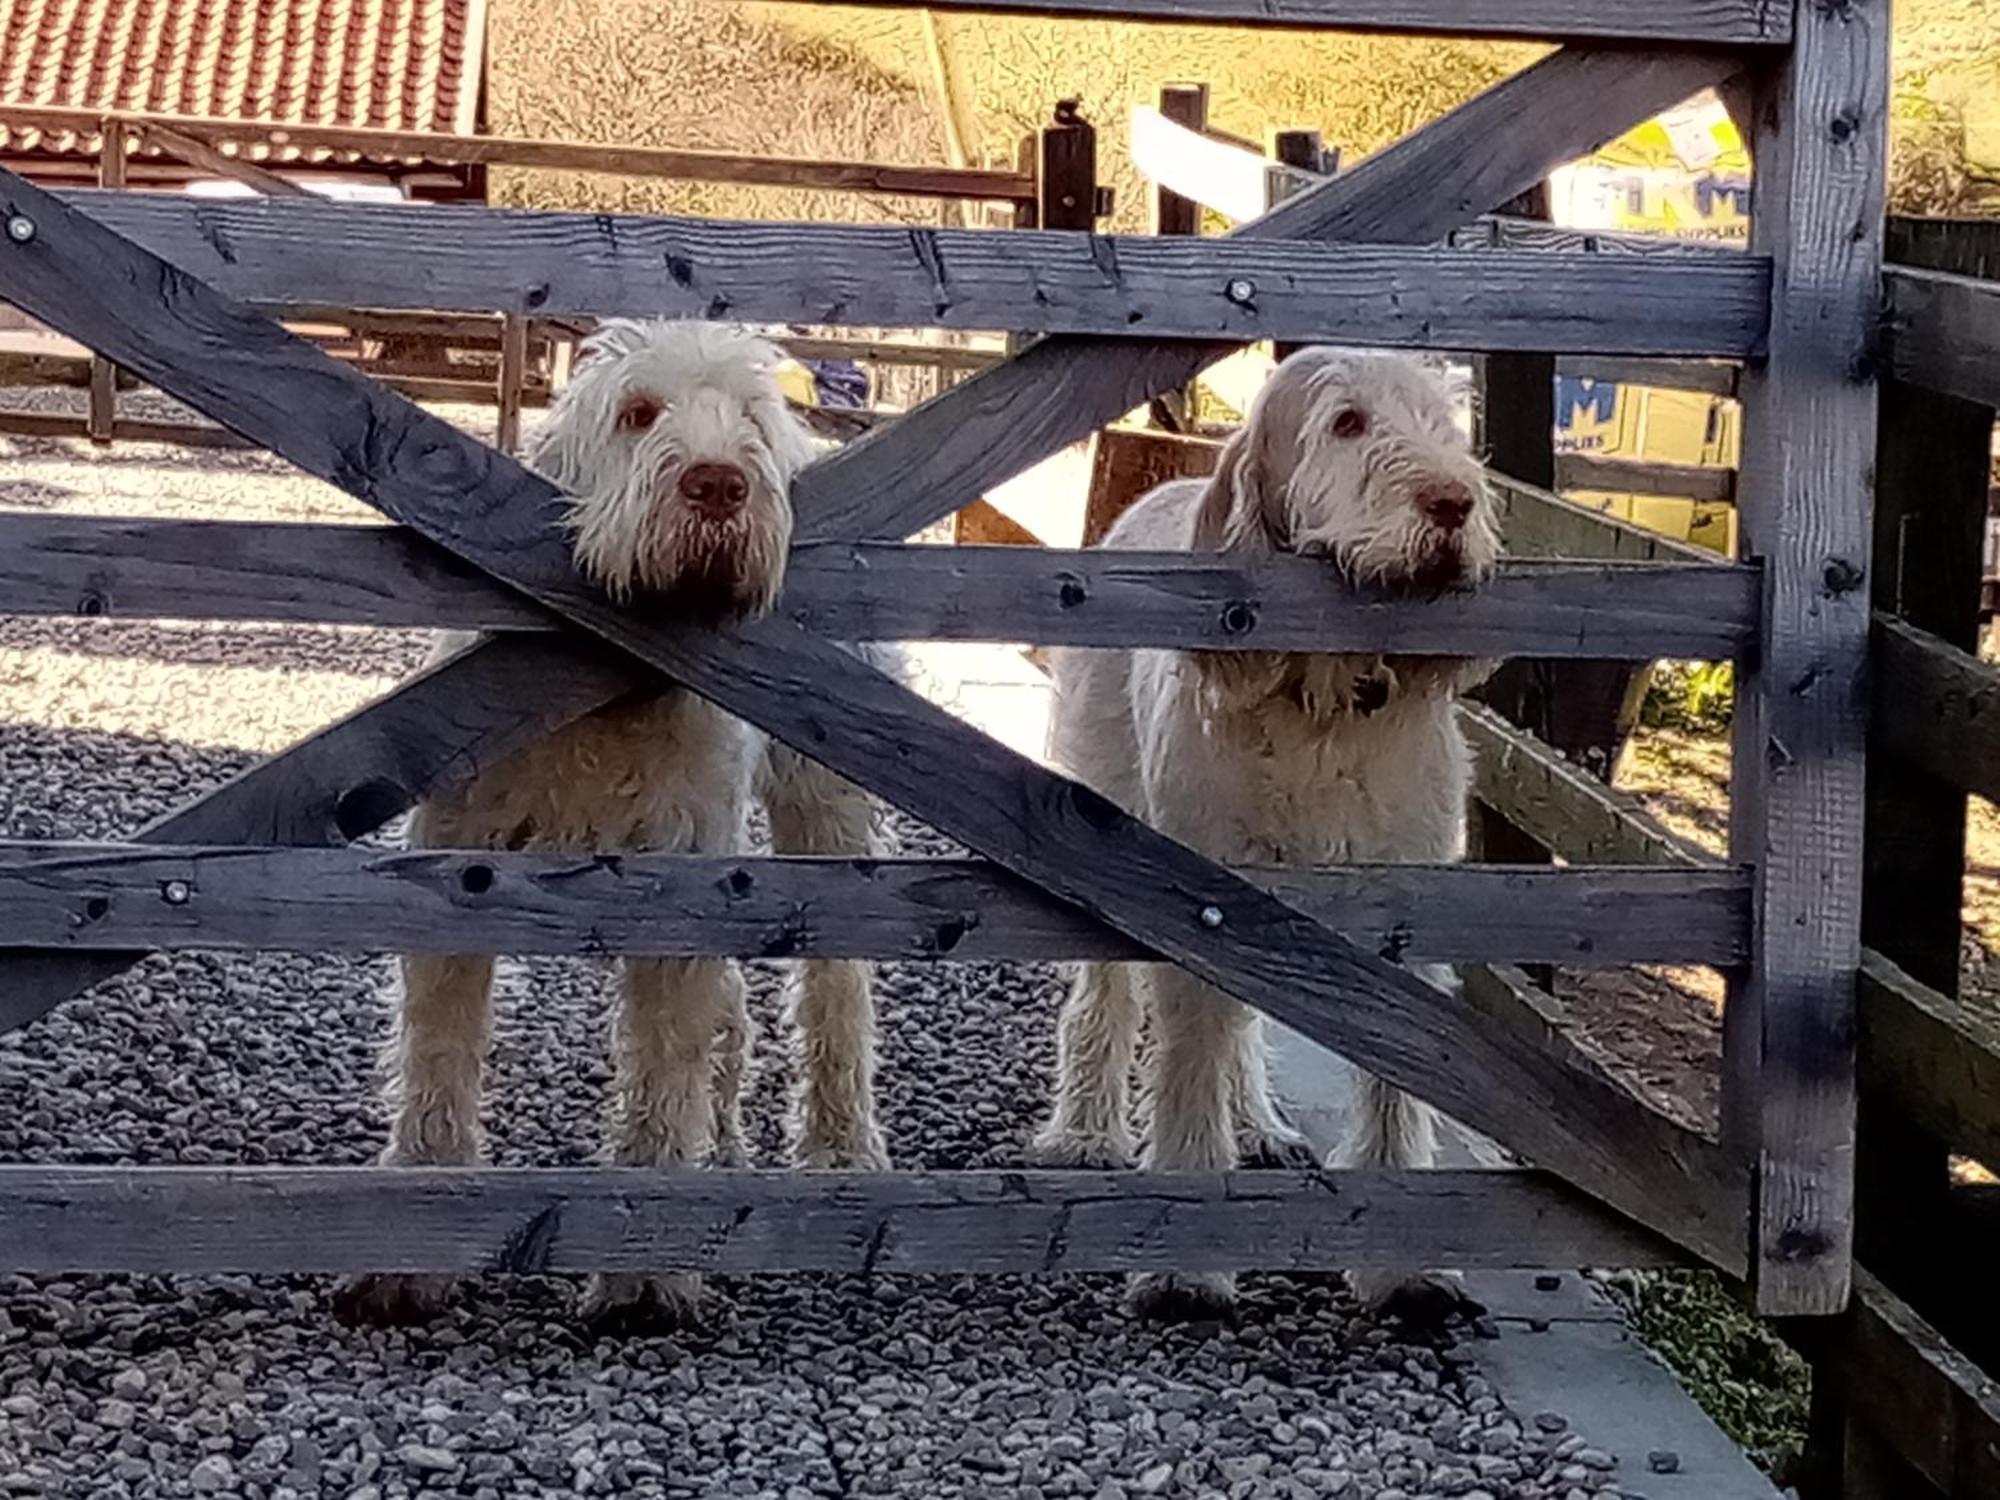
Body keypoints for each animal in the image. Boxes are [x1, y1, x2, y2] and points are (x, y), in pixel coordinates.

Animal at [344, 324, 892, 1336]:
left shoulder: (678, 890)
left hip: (821, 806)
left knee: (836, 988)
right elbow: (439, 1050)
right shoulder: (455, 877)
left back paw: (839, 1145)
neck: (613, 690)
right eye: (638, 413)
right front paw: (413, 1244)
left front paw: (644, 1268)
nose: (720, 484)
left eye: (750, 418)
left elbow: (666, 1057)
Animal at [1032, 346, 1504, 1320]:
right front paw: (1186, 1262)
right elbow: (1187, 1061)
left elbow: (1397, 1074)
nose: (1454, 502)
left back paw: (1253, 1124)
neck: (1321, 704)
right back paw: (1088, 1131)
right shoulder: (1202, 905)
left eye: (1444, 424)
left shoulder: (1409, 910)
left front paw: (1404, 1263)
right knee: (1105, 1001)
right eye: (1347, 423)